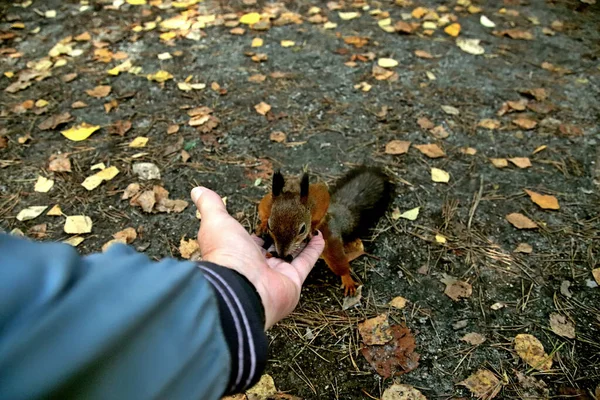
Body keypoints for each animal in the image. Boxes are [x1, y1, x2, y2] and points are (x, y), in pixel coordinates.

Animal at [256, 167, 394, 296]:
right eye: (270, 225)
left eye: (302, 229)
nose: (282, 254)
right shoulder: (268, 201)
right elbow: (263, 209)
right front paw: (262, 225)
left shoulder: (319, 198)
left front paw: (312, 228)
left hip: (331, 244)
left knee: (339, 264)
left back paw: (347, 280)